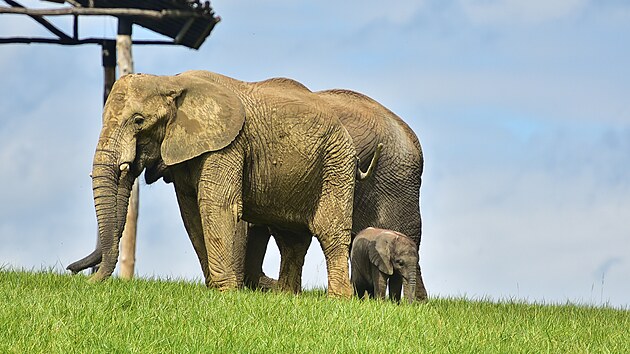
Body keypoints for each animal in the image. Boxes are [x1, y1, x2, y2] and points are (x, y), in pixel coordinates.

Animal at [65, 70, 370, 298]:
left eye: (139, 121)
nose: (76, 275)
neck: (171, 82)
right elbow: (190, 212)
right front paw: (214, 288)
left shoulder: (227, 145)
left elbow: (216, 205)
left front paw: (225, 293)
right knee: (291, 238)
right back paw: (286, 296)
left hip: (337, 161)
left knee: (329, 229)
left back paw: (338, 299)